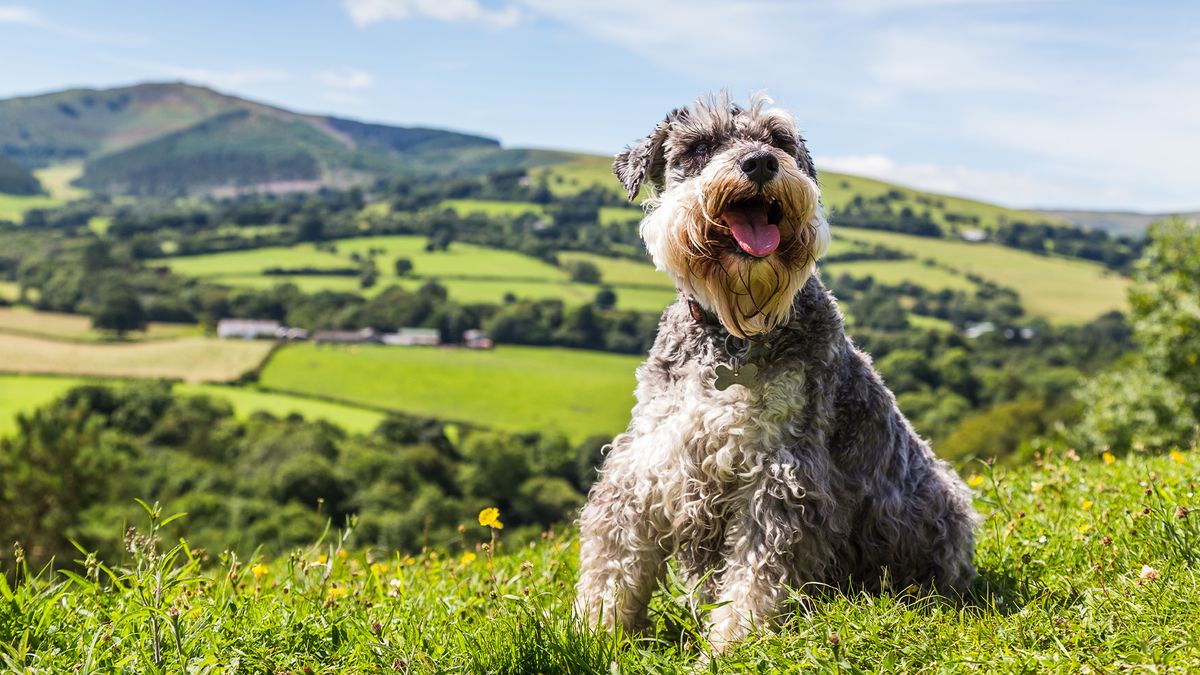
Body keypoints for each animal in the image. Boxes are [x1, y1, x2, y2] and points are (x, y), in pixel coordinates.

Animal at [571, 94, 974, 653]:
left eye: (779, 139)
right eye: (700, 145)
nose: (760, 163)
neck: (734, 336)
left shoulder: (781, 476)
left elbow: (756, 576)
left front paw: (732, 645)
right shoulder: (646, 463)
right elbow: (613, 560)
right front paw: (597, 633)